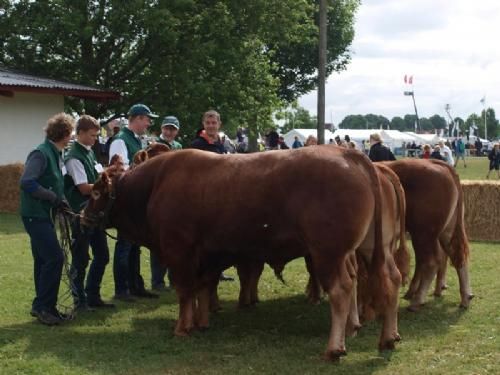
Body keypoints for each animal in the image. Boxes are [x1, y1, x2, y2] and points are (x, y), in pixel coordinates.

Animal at [82, 145, 400, 360]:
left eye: (96, 193)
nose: (82, 216)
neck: (155, 185)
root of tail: (348, 155)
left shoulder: (179, 251)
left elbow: (184, 290)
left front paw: (182, 327)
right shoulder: (207, 255)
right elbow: (202, 288)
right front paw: (201, 322)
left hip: (328, 253)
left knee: (342, 289)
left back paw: (335, 348)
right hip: (372, 247)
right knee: (390, 279)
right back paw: (385, 337)